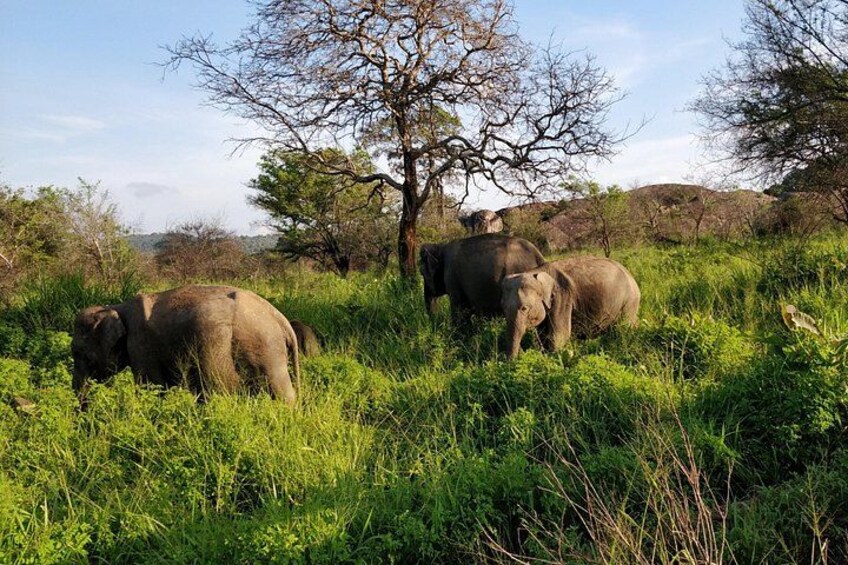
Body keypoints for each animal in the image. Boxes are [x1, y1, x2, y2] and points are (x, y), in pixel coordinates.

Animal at [71, 284, 300, 403]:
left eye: (79, 354)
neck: (117, 307)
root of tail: (280, 318)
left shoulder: (140, 345)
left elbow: (151, 388)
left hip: (264, 347)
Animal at [501, 256, 640, 358]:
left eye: (524, 308)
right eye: (504, 309)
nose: (512, 361)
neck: (536, 271)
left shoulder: (563, 297)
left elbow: (559, 335)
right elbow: (543, 336)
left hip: (630, 302)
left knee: (624, 329)